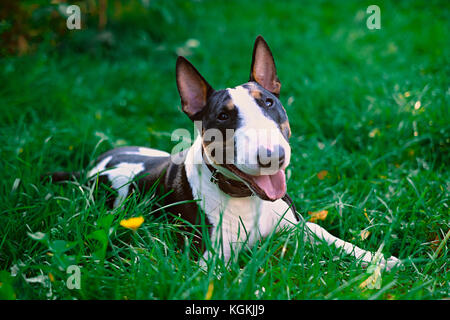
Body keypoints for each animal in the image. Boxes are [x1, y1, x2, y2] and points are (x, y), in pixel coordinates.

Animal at [50, 35, 400, 270]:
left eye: (268, 102)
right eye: (222, 116)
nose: (273, 156)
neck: (248, 199)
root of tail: (92, 166)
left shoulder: (299, 225)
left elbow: (331, 237)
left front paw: (380, 259)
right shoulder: (208, 261)